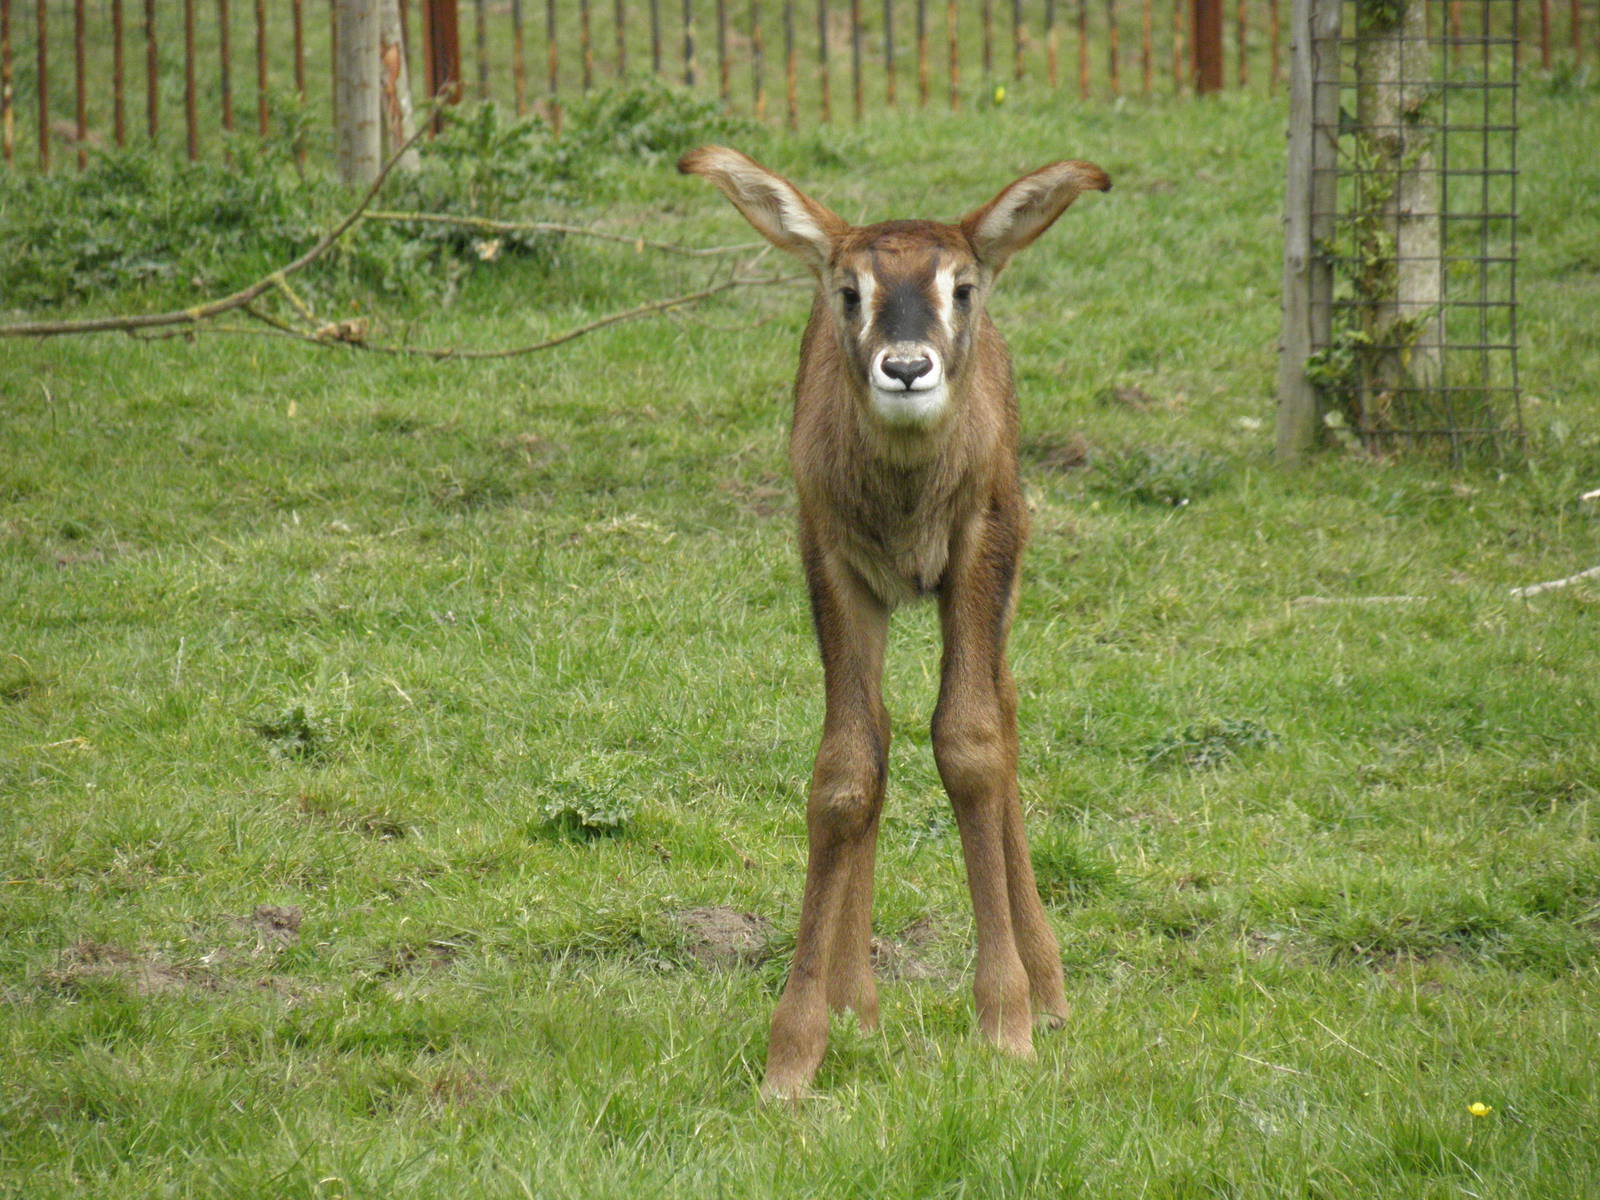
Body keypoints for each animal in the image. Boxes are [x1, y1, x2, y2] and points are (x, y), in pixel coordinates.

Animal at [678, 146, 1110, 1099]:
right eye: (849, 289)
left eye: (962, 286)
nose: (906, 368)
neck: (907, 494)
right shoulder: (835, 565)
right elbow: (846, 771)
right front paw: (794, 1053)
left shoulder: (981, 548)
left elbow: (972, 745)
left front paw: (1005, 1023)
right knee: (876, 730)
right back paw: (856, 1001)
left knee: (1003, 712)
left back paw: (1050, 988)